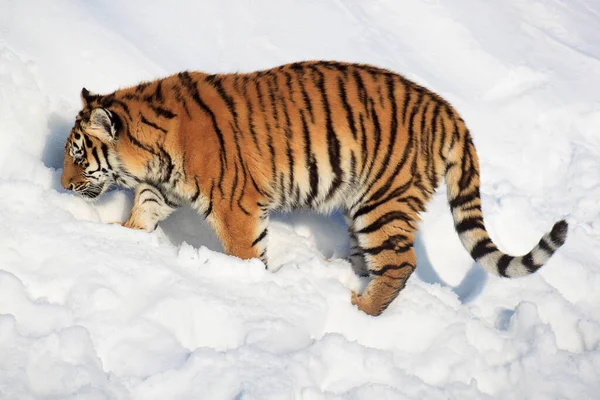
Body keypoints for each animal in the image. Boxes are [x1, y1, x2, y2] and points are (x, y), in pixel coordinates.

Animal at [61, 60, 568, 316]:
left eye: (79, 157)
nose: (62, 185)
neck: (153, 146)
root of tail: (448, 111)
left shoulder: (235, 205)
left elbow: (245, 253)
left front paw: (246, 285)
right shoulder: (162, 188)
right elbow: (142, 212)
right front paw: (123, 239)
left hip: (381, 202)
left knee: (400, 263)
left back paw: (357, 310)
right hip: (364, 210)